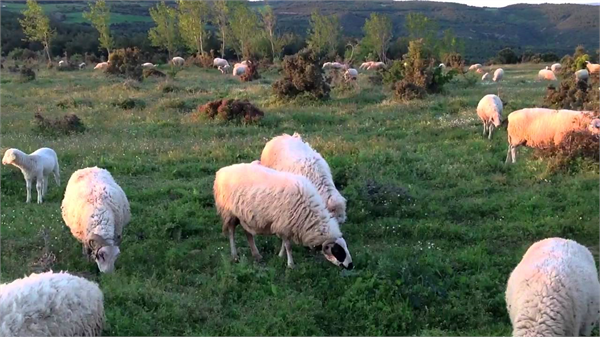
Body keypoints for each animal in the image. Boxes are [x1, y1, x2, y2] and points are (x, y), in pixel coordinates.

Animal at [213, 161, 352, 270]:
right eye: (337, 250)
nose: (351, 265)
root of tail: (221, 171)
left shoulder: (285, 224)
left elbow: (285, 244)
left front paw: (281, 255)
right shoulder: (284, 223)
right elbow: (288, 246)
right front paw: (290, 264)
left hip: (246, 215)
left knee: (248, 233)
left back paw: (256, 254)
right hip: (230, 213)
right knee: (231, 232)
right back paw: (235, 255)